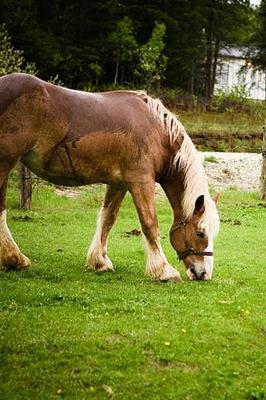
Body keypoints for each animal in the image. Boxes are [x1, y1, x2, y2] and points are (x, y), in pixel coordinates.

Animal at [0, 73, 220, 282]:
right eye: (200, 232)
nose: (204, 274)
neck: (154, 129)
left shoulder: (118, 184)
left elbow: (108, 218)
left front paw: (99, 262)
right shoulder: (141, 181)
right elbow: (149, 223)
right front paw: (164, 271)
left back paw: (14, 259)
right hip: (5, 163)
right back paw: (15, 258)